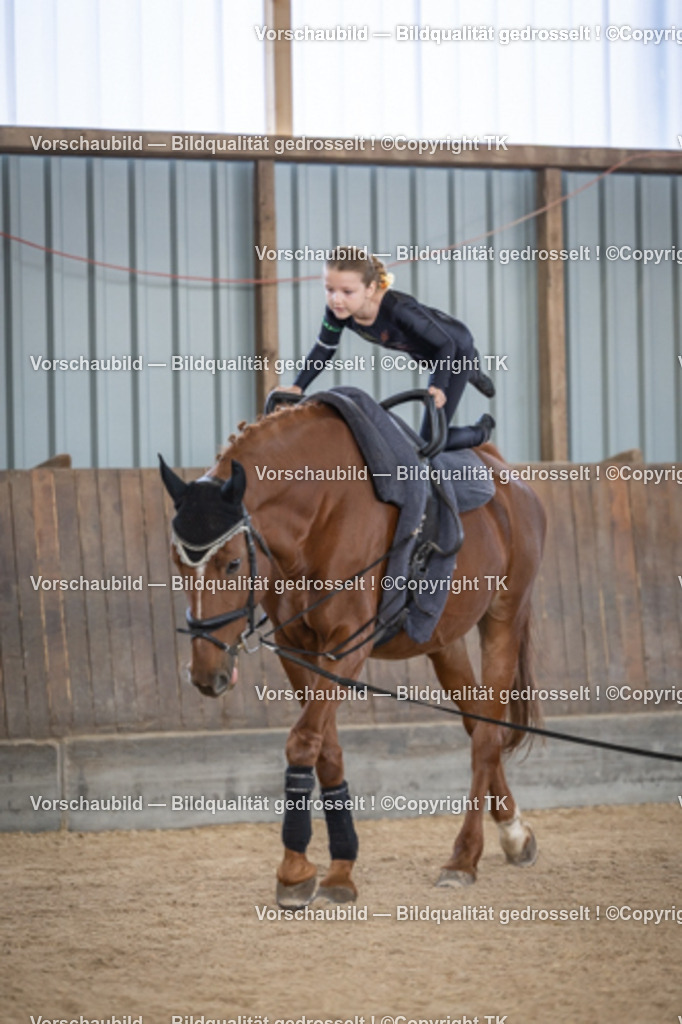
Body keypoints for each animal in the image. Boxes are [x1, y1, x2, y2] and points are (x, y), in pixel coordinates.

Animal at [159, 396, 546, 908]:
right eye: (178, 562)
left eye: (234, 563)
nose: (207, 676)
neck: (322, 510)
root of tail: (510, 479)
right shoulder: (296, 649)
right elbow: (327, 750)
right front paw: (338, 868)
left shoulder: (347, 644)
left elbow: (304, 741)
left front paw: (294, 871)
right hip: (444, 641)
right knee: (476, 721)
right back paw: (514, 835)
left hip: (503, 617)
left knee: (485, 737)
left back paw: (463, 858)